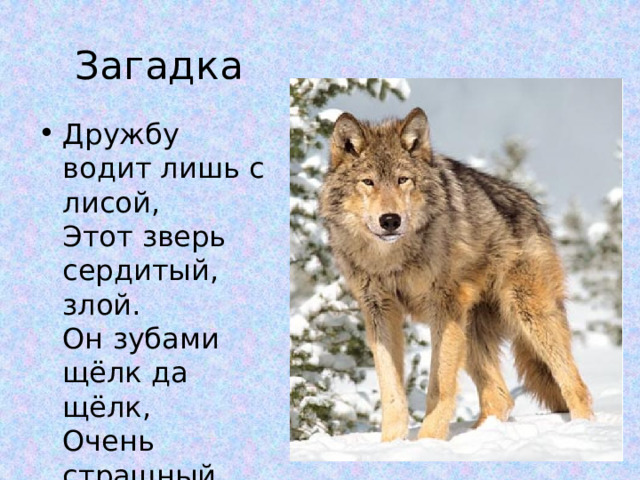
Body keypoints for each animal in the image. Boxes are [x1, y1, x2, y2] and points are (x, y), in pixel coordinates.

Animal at [319, 107, 593, 441]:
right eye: (368, 182)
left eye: (402, 180)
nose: (390, 220)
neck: (392, 259)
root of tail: (532, 207)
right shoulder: (379, 310)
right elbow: (391, 391)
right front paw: (391, 444)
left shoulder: (444, 308)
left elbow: (439, 385)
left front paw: (428, 443)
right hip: (471, 330)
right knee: (500, 397)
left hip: (529, 315)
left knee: (574, 383)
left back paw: (583, 429)